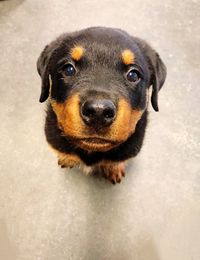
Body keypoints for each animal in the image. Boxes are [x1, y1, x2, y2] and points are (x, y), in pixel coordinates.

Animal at [36, 26, 166, 184]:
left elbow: (115, 162)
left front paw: (114, 170)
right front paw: (67, 159)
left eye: (133, 75)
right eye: (68, 69)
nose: (99, 112)